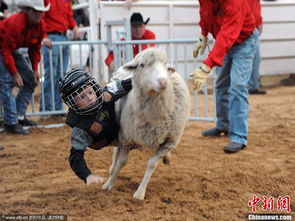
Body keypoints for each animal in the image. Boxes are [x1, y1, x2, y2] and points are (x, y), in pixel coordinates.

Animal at [103, 48, 192, 200]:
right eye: (142, 65)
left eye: (167, 66)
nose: (163, 81)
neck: (154, 116)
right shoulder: (126, 139)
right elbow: (122, 162)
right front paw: (109, 183)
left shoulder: (169, 142)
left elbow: (151, 165)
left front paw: (140, 192)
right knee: (116, 152)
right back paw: (111, 169)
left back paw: (167, 158)